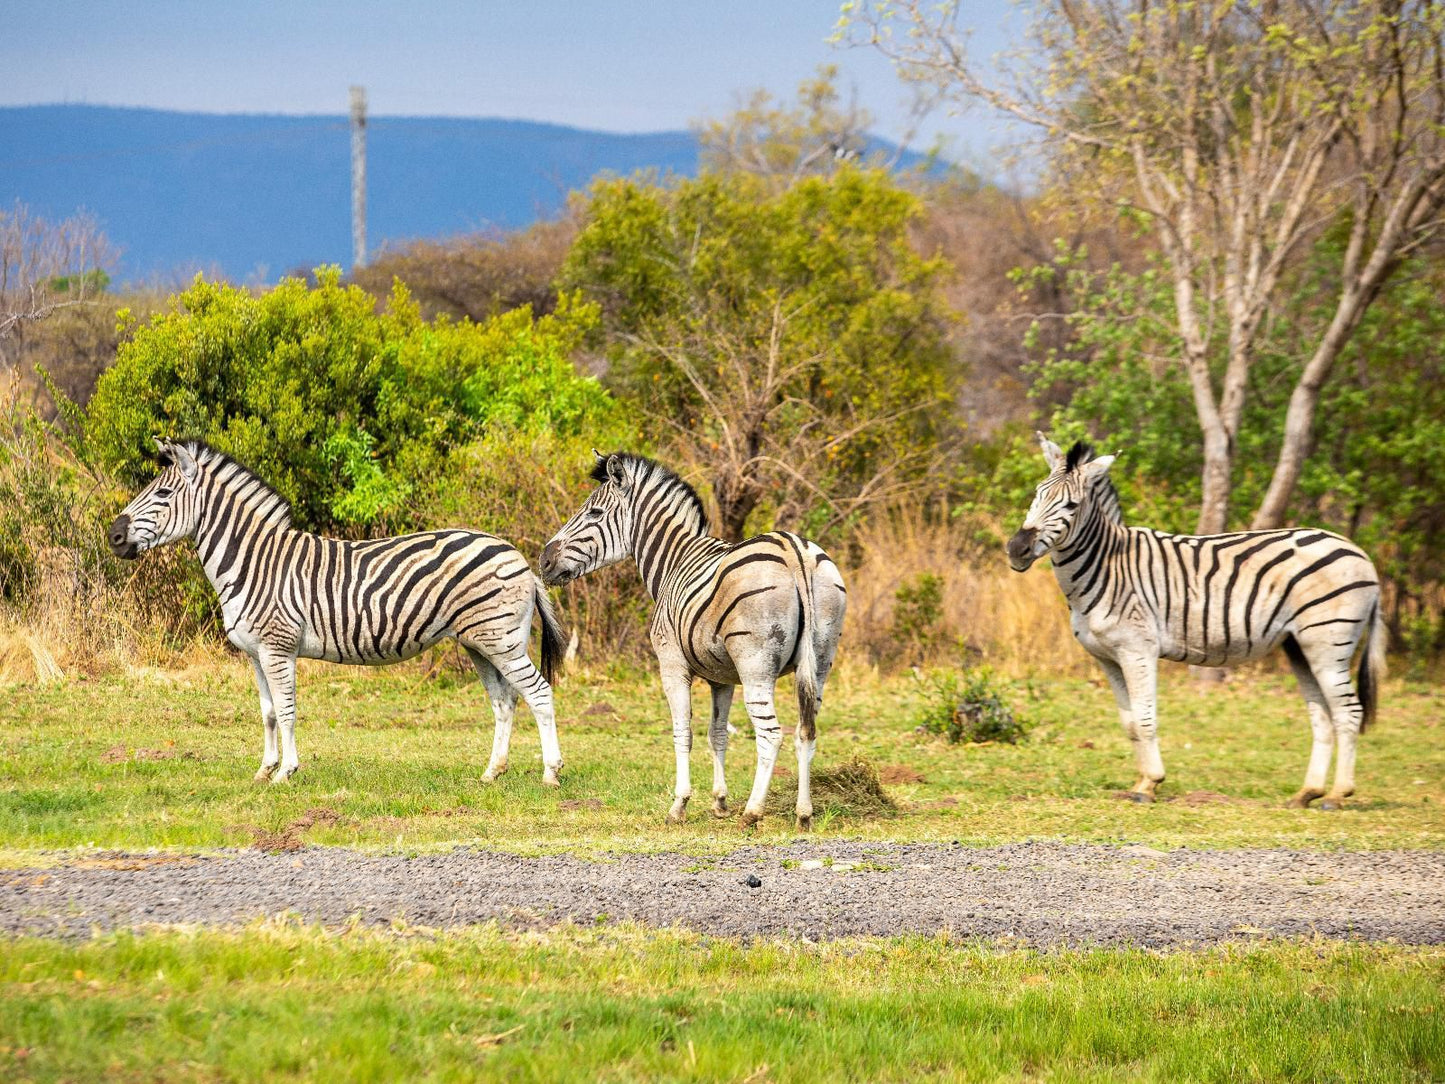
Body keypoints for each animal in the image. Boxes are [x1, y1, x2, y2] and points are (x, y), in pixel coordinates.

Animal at [106, 442, 566, 792]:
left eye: (163, 495)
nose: (113, 536)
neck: (254, 562)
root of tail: (520, 558)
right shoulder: (254, 653)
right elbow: (267, 713)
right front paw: (263, 770)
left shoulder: (277, 647)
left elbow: (287, 711)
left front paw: (286, 773)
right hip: (480, 642)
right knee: (505, 701)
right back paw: (492, 773)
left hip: (501, 639)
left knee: (539, 692)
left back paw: (550, 773)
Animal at [540, 450, 843, 832]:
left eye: (594, 512)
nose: (544, 561)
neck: (674, 561)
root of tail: (794, 552)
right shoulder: (722, 677)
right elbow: (718, 734)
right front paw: (720, 802)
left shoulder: (672, 664)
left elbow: (682, 732)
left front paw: (680, 804)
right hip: (820, 661)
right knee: (806, 731)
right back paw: (804, 814)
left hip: (756, 665)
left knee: (771, 734)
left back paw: (753, 812)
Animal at [1011, 436, 1381, 809]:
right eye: (1037, 493)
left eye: (1071, 505)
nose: (1016, 548)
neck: (1106, 565)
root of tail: (1359, 552)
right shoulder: (1107, 658)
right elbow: (1129, 723)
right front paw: (1141, 780)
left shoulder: (1138, 650)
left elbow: (1144, 719)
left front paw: (1150, 785)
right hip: (1300, 646)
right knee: (1323, 716)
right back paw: (1307, 793)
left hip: (1328, 640)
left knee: (1348, 712)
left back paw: (1337, 794)